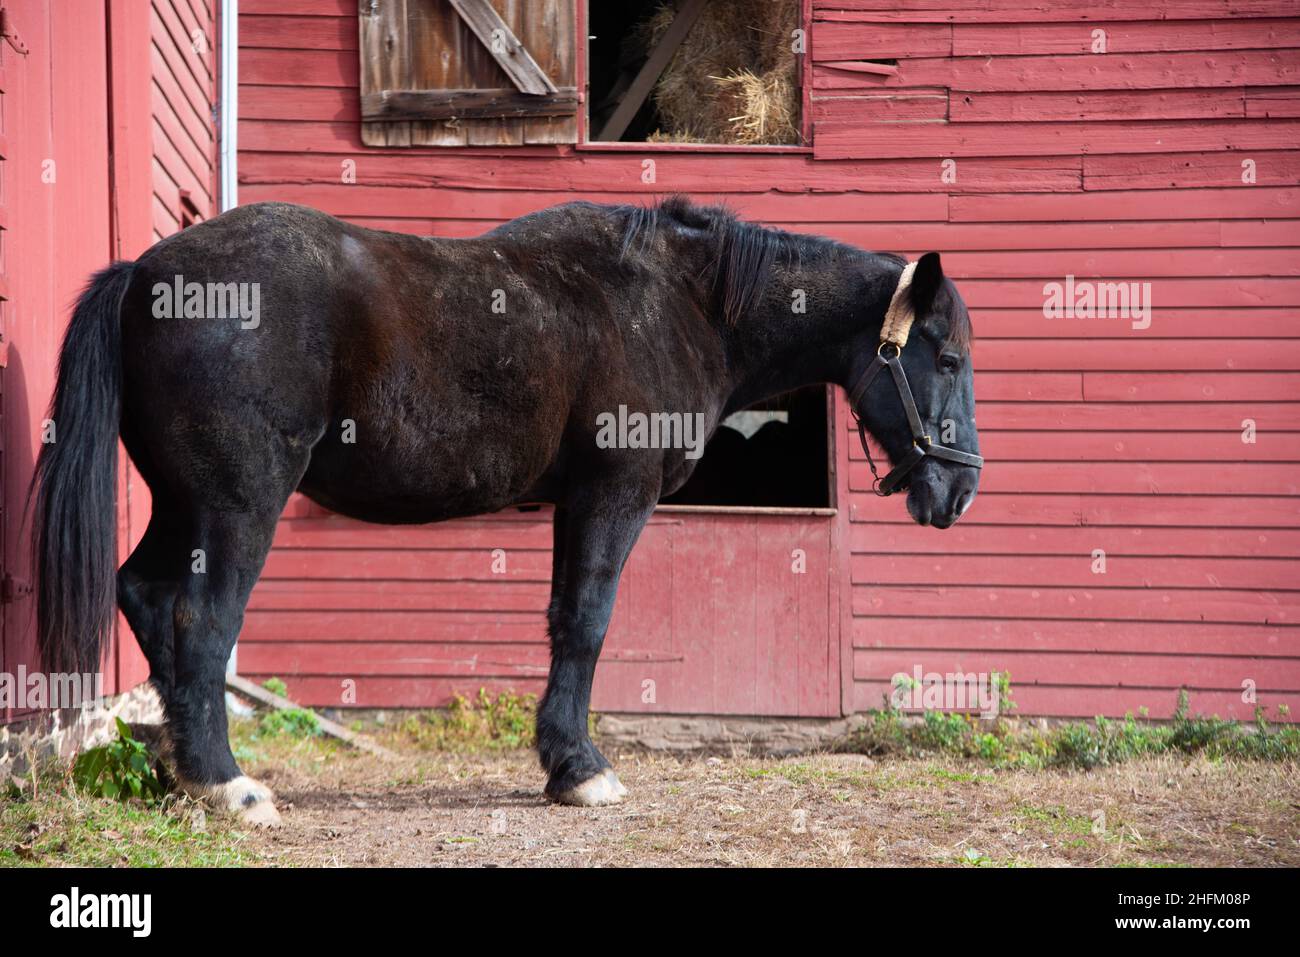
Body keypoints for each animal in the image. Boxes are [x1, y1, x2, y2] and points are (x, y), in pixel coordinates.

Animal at [32, 196, 981, 823]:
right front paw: (582, 769)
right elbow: (587, 625)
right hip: (235, 507)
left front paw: (563, 763)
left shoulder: (577, 503)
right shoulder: (614, 494)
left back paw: (180, 772)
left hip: (183, 503)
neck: (677, 303)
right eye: (947, 357)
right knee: (199, 620)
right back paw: (227, 783)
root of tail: (145, 276)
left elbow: (565, 620)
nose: (960, 487)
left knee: (144, 596)